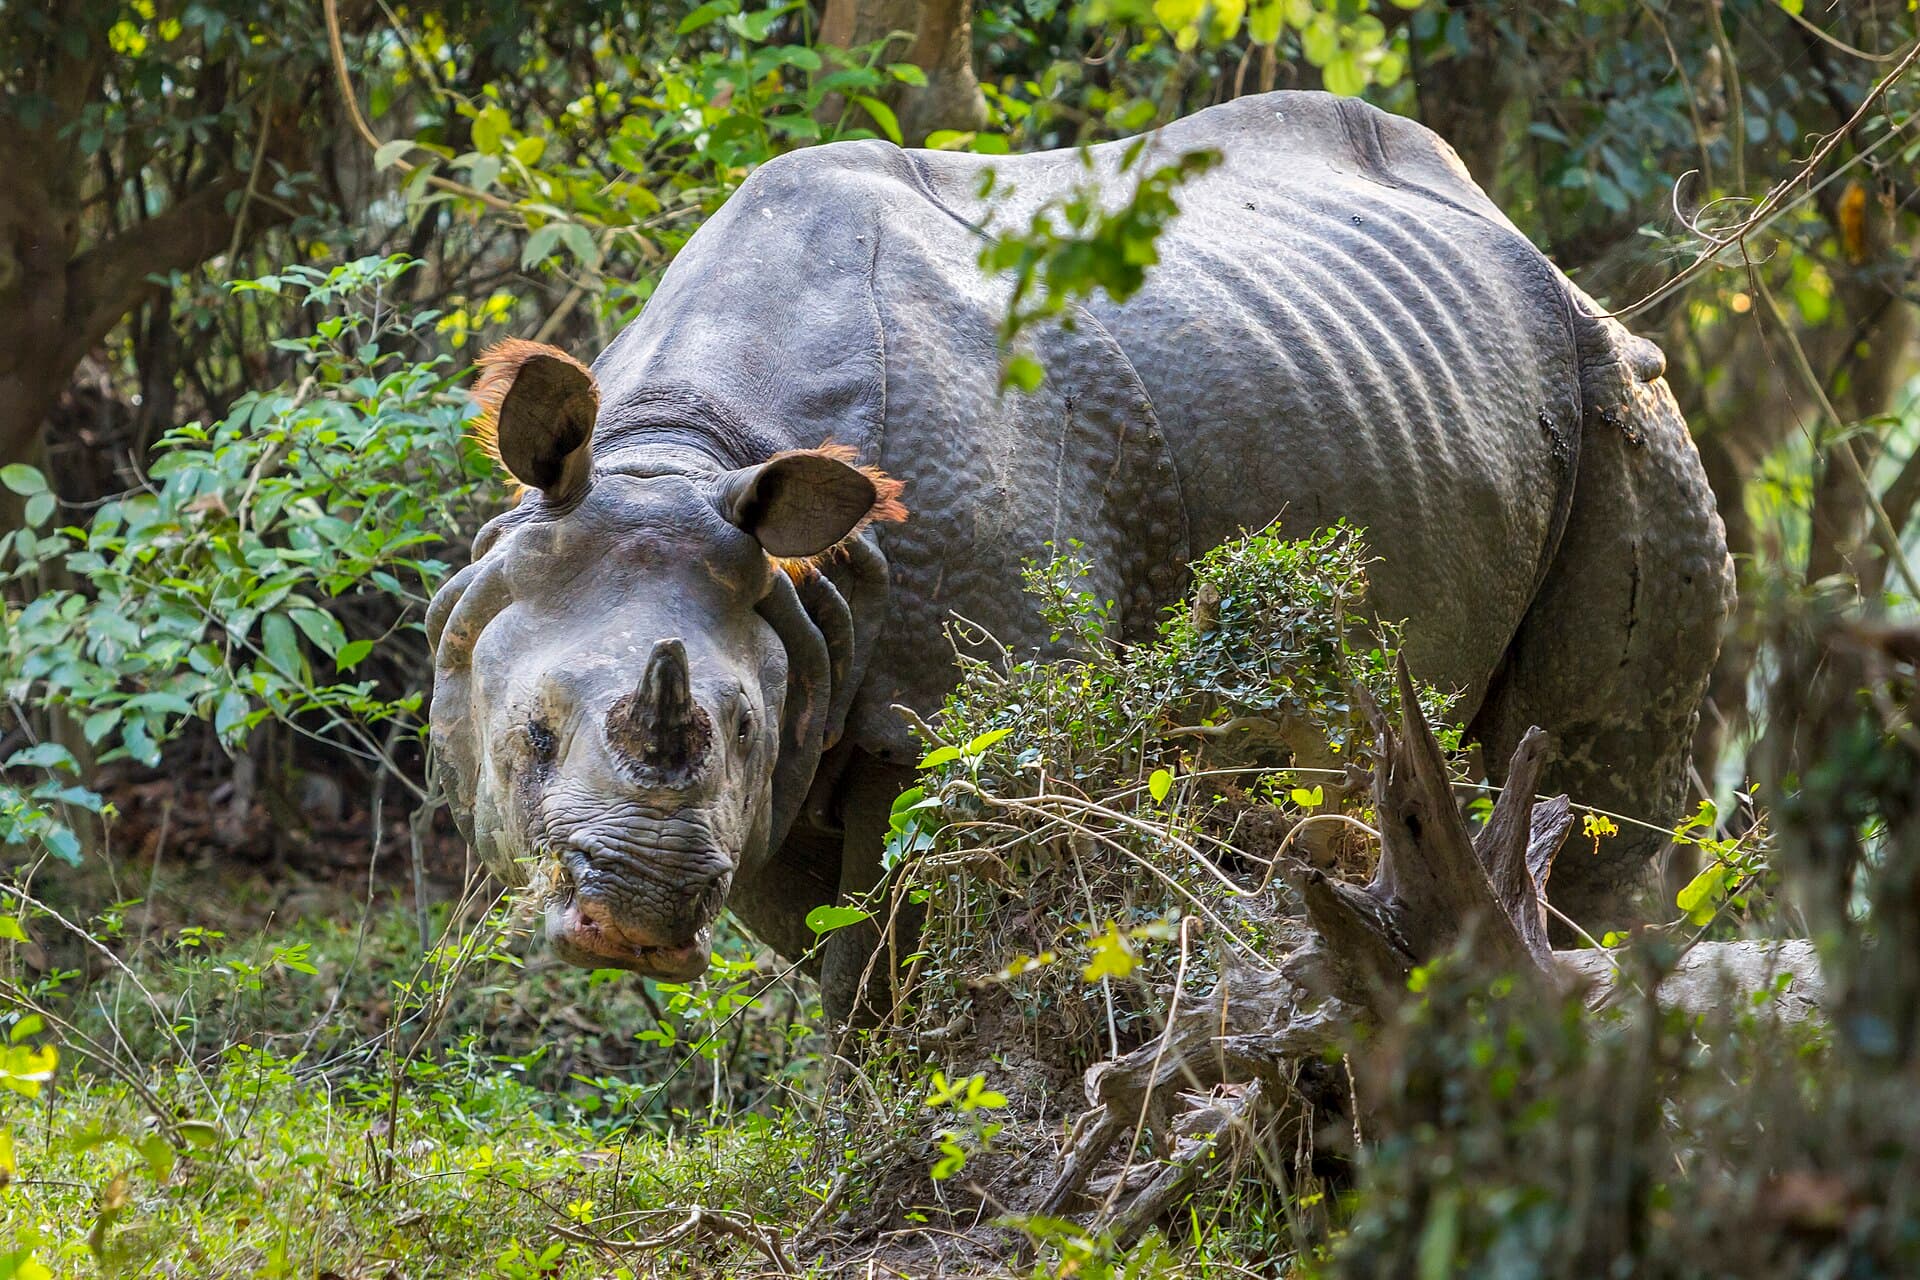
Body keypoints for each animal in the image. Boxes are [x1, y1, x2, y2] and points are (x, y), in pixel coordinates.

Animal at [426, 90, 1732, 1018]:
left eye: (737, 726)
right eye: (531, 736)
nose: (636, 919)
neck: (685, 446)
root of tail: (1527, 245)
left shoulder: (945, 703)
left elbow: (891, 945)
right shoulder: (800, 656)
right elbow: (827, 935)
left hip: (1621, 395)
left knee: (1592, 777)